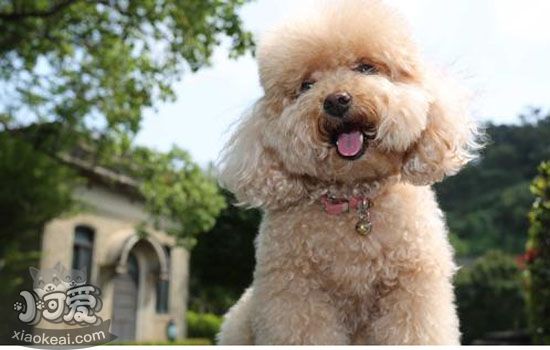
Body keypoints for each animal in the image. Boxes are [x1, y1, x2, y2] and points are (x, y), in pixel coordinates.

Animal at [218, 0, 480, 344]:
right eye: (307, 85)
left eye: (366, 68)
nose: (336, 101)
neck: (354, 199)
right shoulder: (296, 295)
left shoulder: (412, 287)